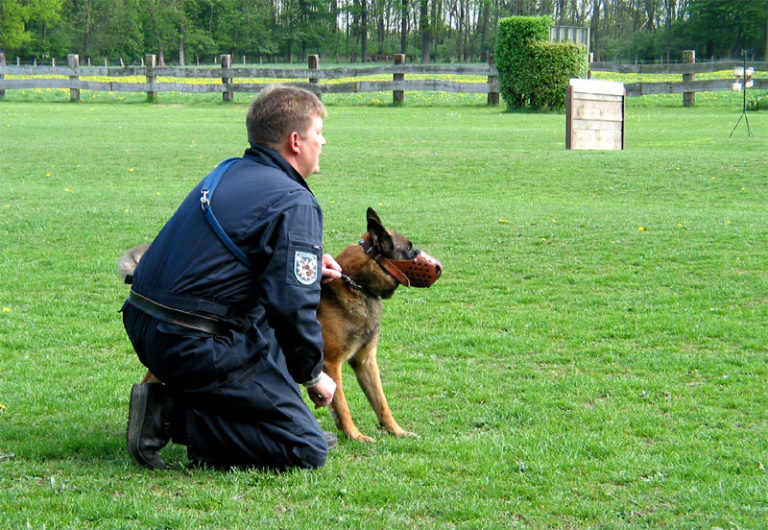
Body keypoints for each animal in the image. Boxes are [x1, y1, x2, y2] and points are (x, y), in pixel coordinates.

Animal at [120, 208, 444, 440]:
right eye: (410, 248)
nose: (440, 267)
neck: (357, 284)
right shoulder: (331, 365)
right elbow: (342, 404)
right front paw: (355, 435)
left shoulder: (365, 361)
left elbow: (381, 403)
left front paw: (396, 431)